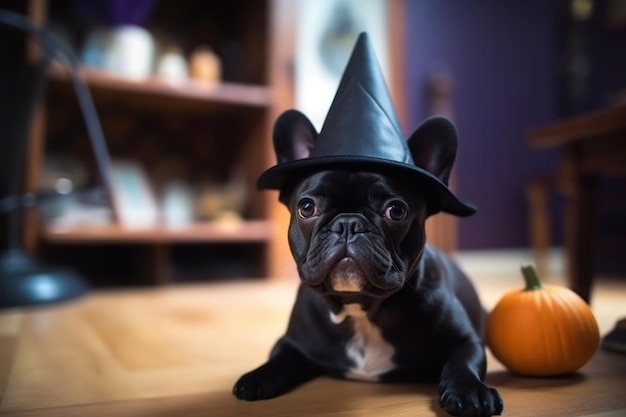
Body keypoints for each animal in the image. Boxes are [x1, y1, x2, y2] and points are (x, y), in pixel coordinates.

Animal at [234, 110, 502, 416]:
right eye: (307, 207)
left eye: (396, 211)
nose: (348, 224)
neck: (360, 309)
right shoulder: (292, 341)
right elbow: (281, 357)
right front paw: (257, 376)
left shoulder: (467, 340)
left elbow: (463, 361)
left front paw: (469, 391)